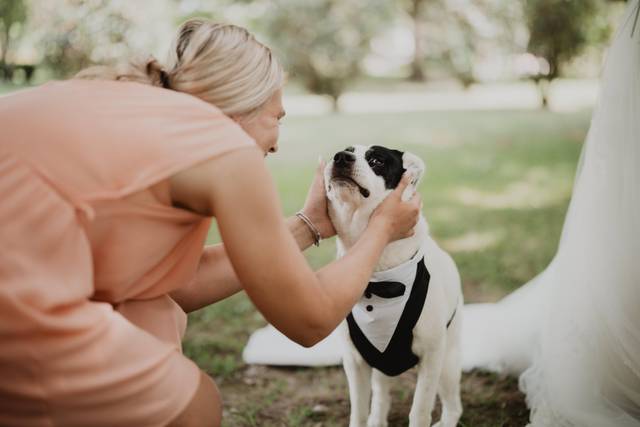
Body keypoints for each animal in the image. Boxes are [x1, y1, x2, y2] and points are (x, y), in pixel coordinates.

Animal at [322, 145, 462, 426]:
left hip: (447, 365)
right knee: (380, 395)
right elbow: (358, 411)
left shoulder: (432, 356)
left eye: (377, 160)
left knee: (454, 405)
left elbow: (419, 410)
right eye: (342, 151)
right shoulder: (354, 361)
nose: (341, 157)